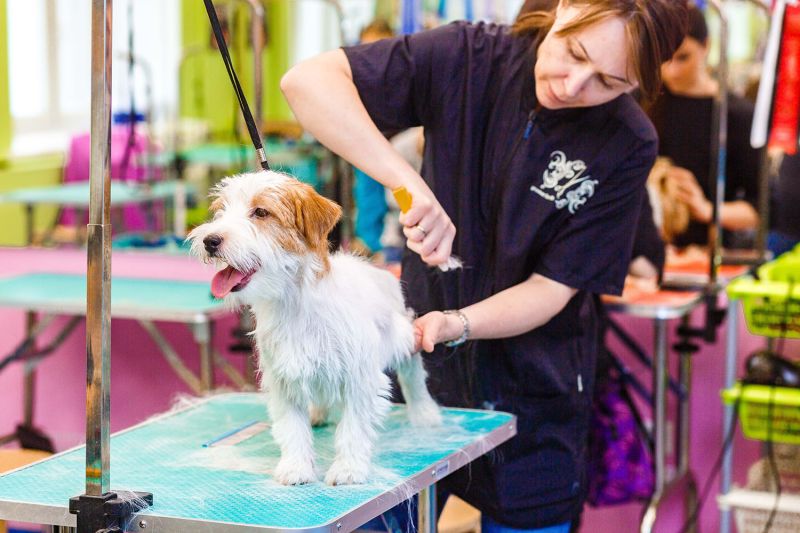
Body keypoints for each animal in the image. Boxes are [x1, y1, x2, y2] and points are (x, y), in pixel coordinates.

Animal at [188, 170, 442, 486]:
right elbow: (292, 429)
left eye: (261, 212)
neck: (293, 302)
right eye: (221, 210)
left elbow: (353, 428)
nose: (210, 240)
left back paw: (425, 412)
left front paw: (348, 469)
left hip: (403, 337)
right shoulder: (284, 380)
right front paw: (296, 467)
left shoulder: (360, 379)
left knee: (413, 373)